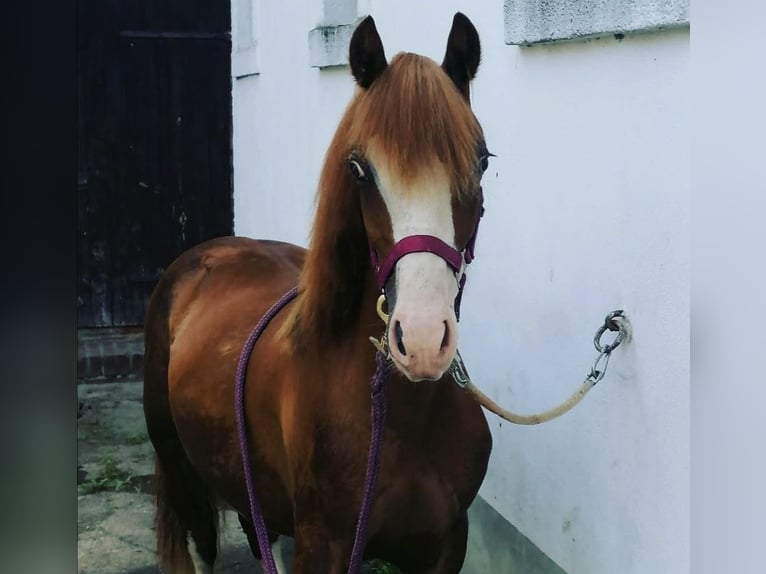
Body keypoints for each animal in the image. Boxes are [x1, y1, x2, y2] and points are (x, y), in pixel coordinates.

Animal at [142, 13, 496, 574]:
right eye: (359, 170)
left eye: (481, 163)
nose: (421, 339)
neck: (400, 417)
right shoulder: (323, 544)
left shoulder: (444, 544)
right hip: (183, 474)